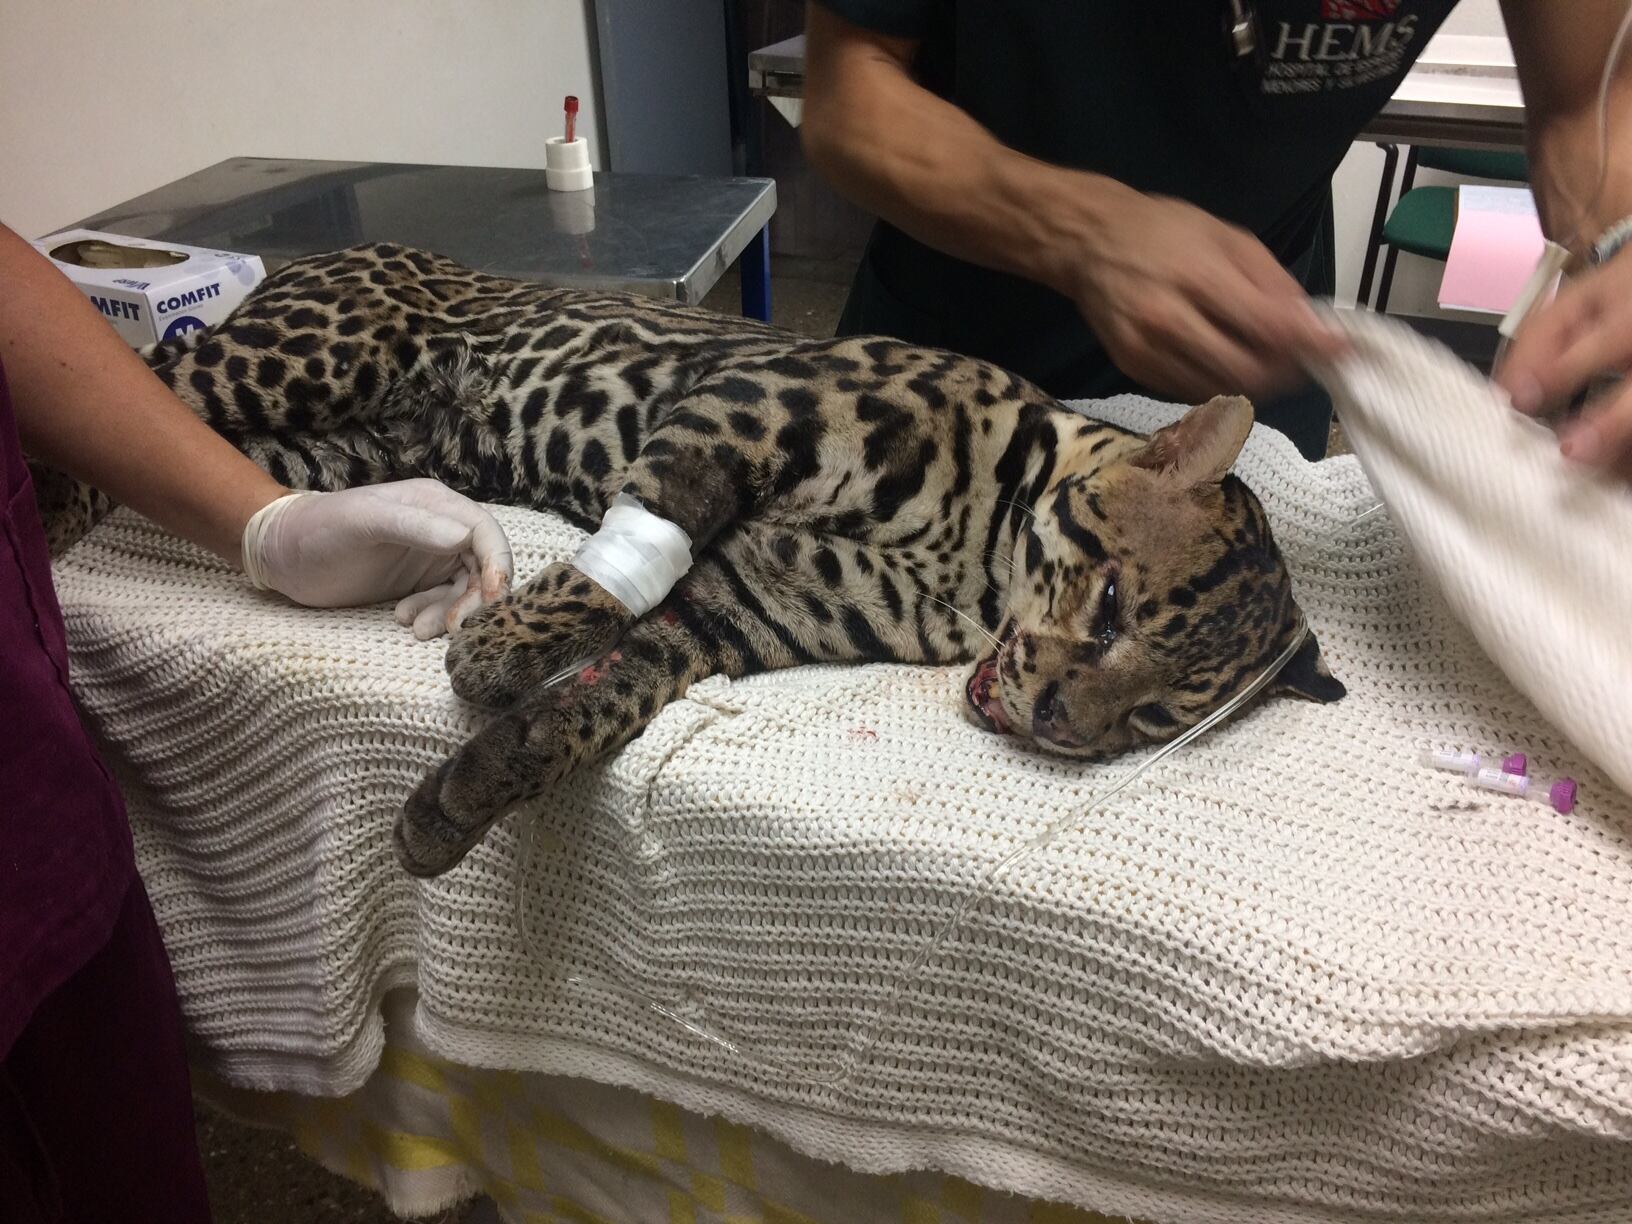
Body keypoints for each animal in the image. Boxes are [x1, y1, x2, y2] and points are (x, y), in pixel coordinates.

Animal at [36, 242, 1344, 877]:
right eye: (1113, 604)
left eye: (1153, 719)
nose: (1068, 722)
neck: (982, 552)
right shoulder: (750, 412)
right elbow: (630, 554)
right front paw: (500, 644)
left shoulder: (749, 604)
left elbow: (609, 695)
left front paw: (469, 789)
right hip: (300, 358)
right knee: (150, 380)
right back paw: (37, 513)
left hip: (334, 447)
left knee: (197, 455)